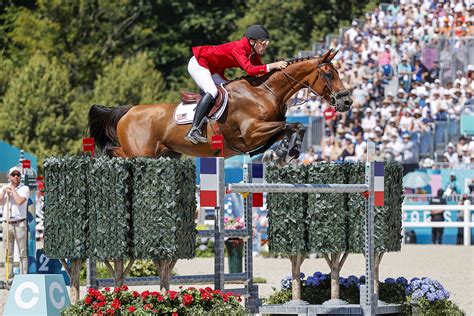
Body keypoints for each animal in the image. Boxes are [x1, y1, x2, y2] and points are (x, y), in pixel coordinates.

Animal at [88, 48, 352, 165]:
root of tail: (128, 111)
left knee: (117, 151)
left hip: (164, 154)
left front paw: (286, 152)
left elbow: (293, 128)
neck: (265, 92)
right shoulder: (251, 134)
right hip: (142, 153)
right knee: (116, 152)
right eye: (329, 74)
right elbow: (292, 125)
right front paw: (284, 153)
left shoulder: (264, 131)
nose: (346, 101)